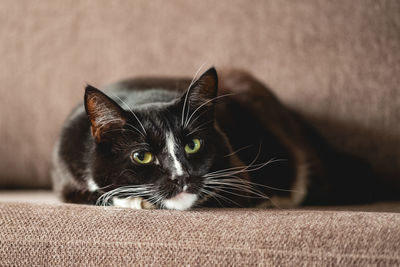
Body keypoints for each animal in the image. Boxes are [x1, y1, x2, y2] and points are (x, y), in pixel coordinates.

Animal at [51, 67, 380, 209]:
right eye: (142, 155)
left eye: (193, 144)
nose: (183, 177)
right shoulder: (66, 173)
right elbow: (86, 193)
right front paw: (131, 198)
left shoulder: (240, 175)